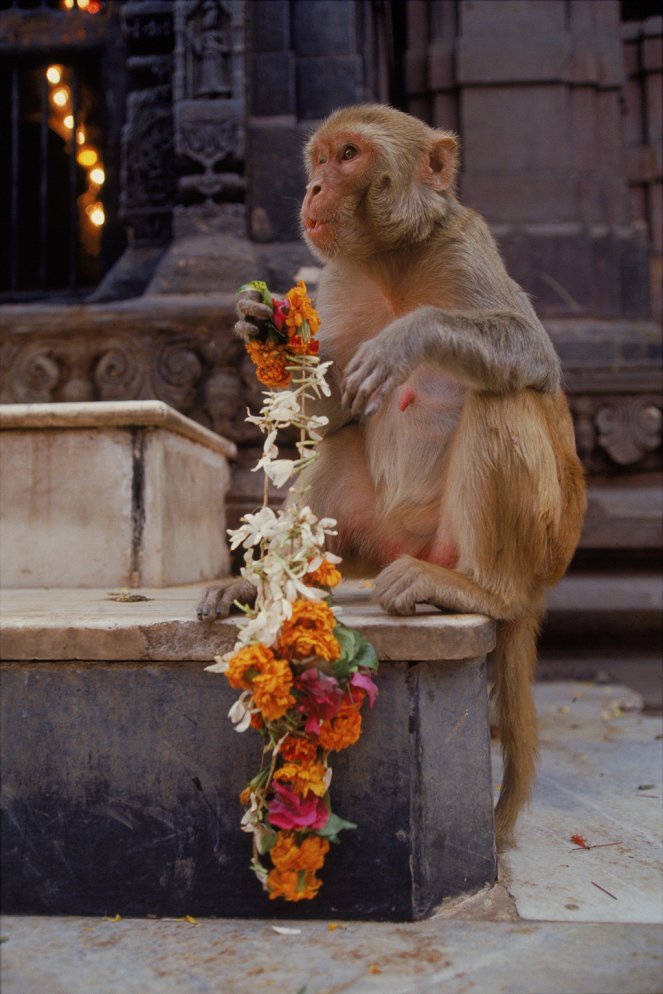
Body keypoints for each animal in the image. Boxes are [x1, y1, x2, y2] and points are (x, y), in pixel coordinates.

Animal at [198, 102, 588, 844]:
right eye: (320, 157)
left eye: (349, 155)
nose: (315, 189)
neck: (390, 262)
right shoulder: (338, 281)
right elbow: (328, 409)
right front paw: (255, 323)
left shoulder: (467, 246)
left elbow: (531, 354)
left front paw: (411, 335)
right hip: (370, 541)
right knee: (339, 448)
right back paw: (270, 582)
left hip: (519, 545)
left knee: (502, 398)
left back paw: (478, 590)